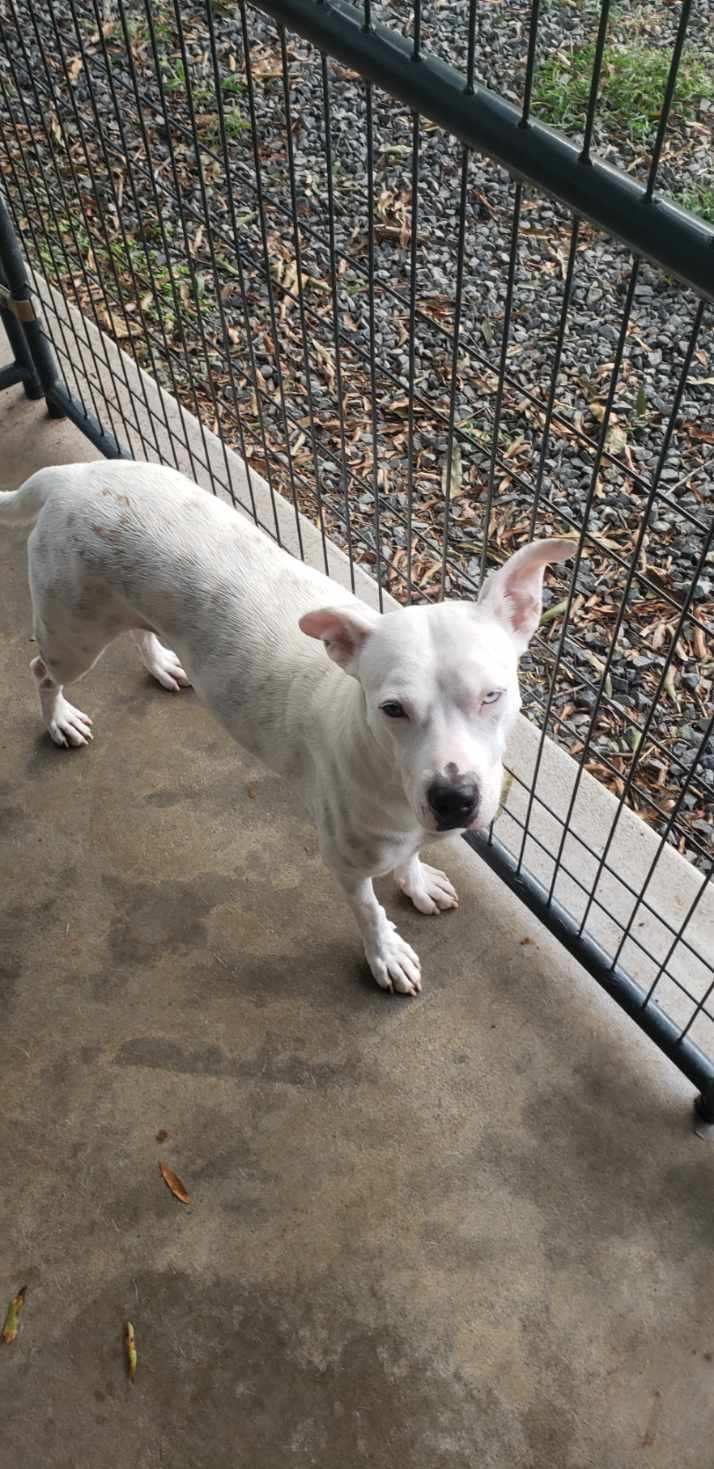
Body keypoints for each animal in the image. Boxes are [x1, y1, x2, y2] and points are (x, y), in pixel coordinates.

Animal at [0, 458, 570, 998]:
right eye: (392, 709)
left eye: (492, 695)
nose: (454, 799)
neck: (385, 772)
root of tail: (69, 475)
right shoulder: (345, 863)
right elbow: (369, 911)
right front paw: (385, 954)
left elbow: (409, 857)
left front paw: (417, 882)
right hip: (72, 640)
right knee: (41, 671)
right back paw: (59, 720)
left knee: (139, 631)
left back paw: (159, 663)